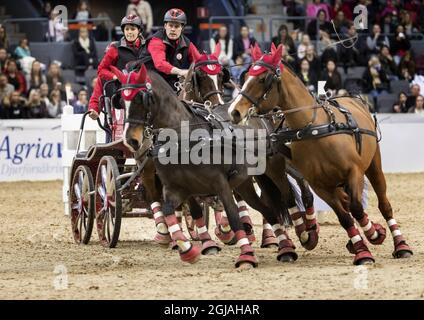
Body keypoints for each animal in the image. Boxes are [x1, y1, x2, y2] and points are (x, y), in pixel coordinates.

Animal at [227, 43, 412, 264]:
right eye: (246, 76)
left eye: (263, 79)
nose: (234, 111)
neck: (314, 128)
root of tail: (353, 99)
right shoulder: (319, 185)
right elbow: (344, 216)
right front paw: (361, 250)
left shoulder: (354, 172)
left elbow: (357, 208)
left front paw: (374, 234)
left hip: (373, 165)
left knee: (384, 204)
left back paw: (401, 245)